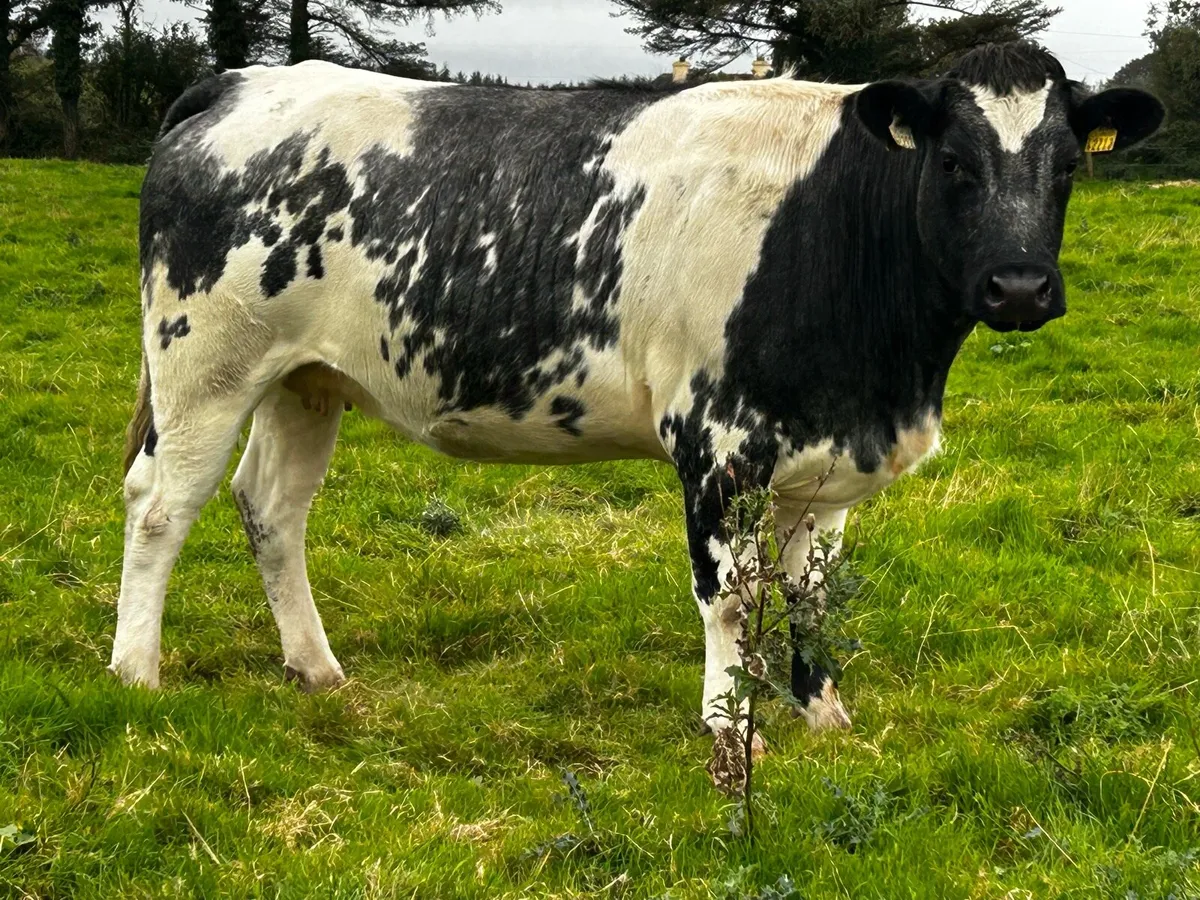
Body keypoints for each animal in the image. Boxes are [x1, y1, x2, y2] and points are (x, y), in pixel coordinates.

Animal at [112, 41, 1163, 744]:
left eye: (1069, 167)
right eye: (952, 162)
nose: (1019, 286)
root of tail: (243, 80)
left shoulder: (830, 459)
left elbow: (812, 593)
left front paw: (824, 715)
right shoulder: (719, 442)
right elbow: (731, 598)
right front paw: (730, 730)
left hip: (306, 379)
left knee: (272, 507)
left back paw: (318, 670)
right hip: (203, 362)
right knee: (160, 505)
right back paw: (135, 673)